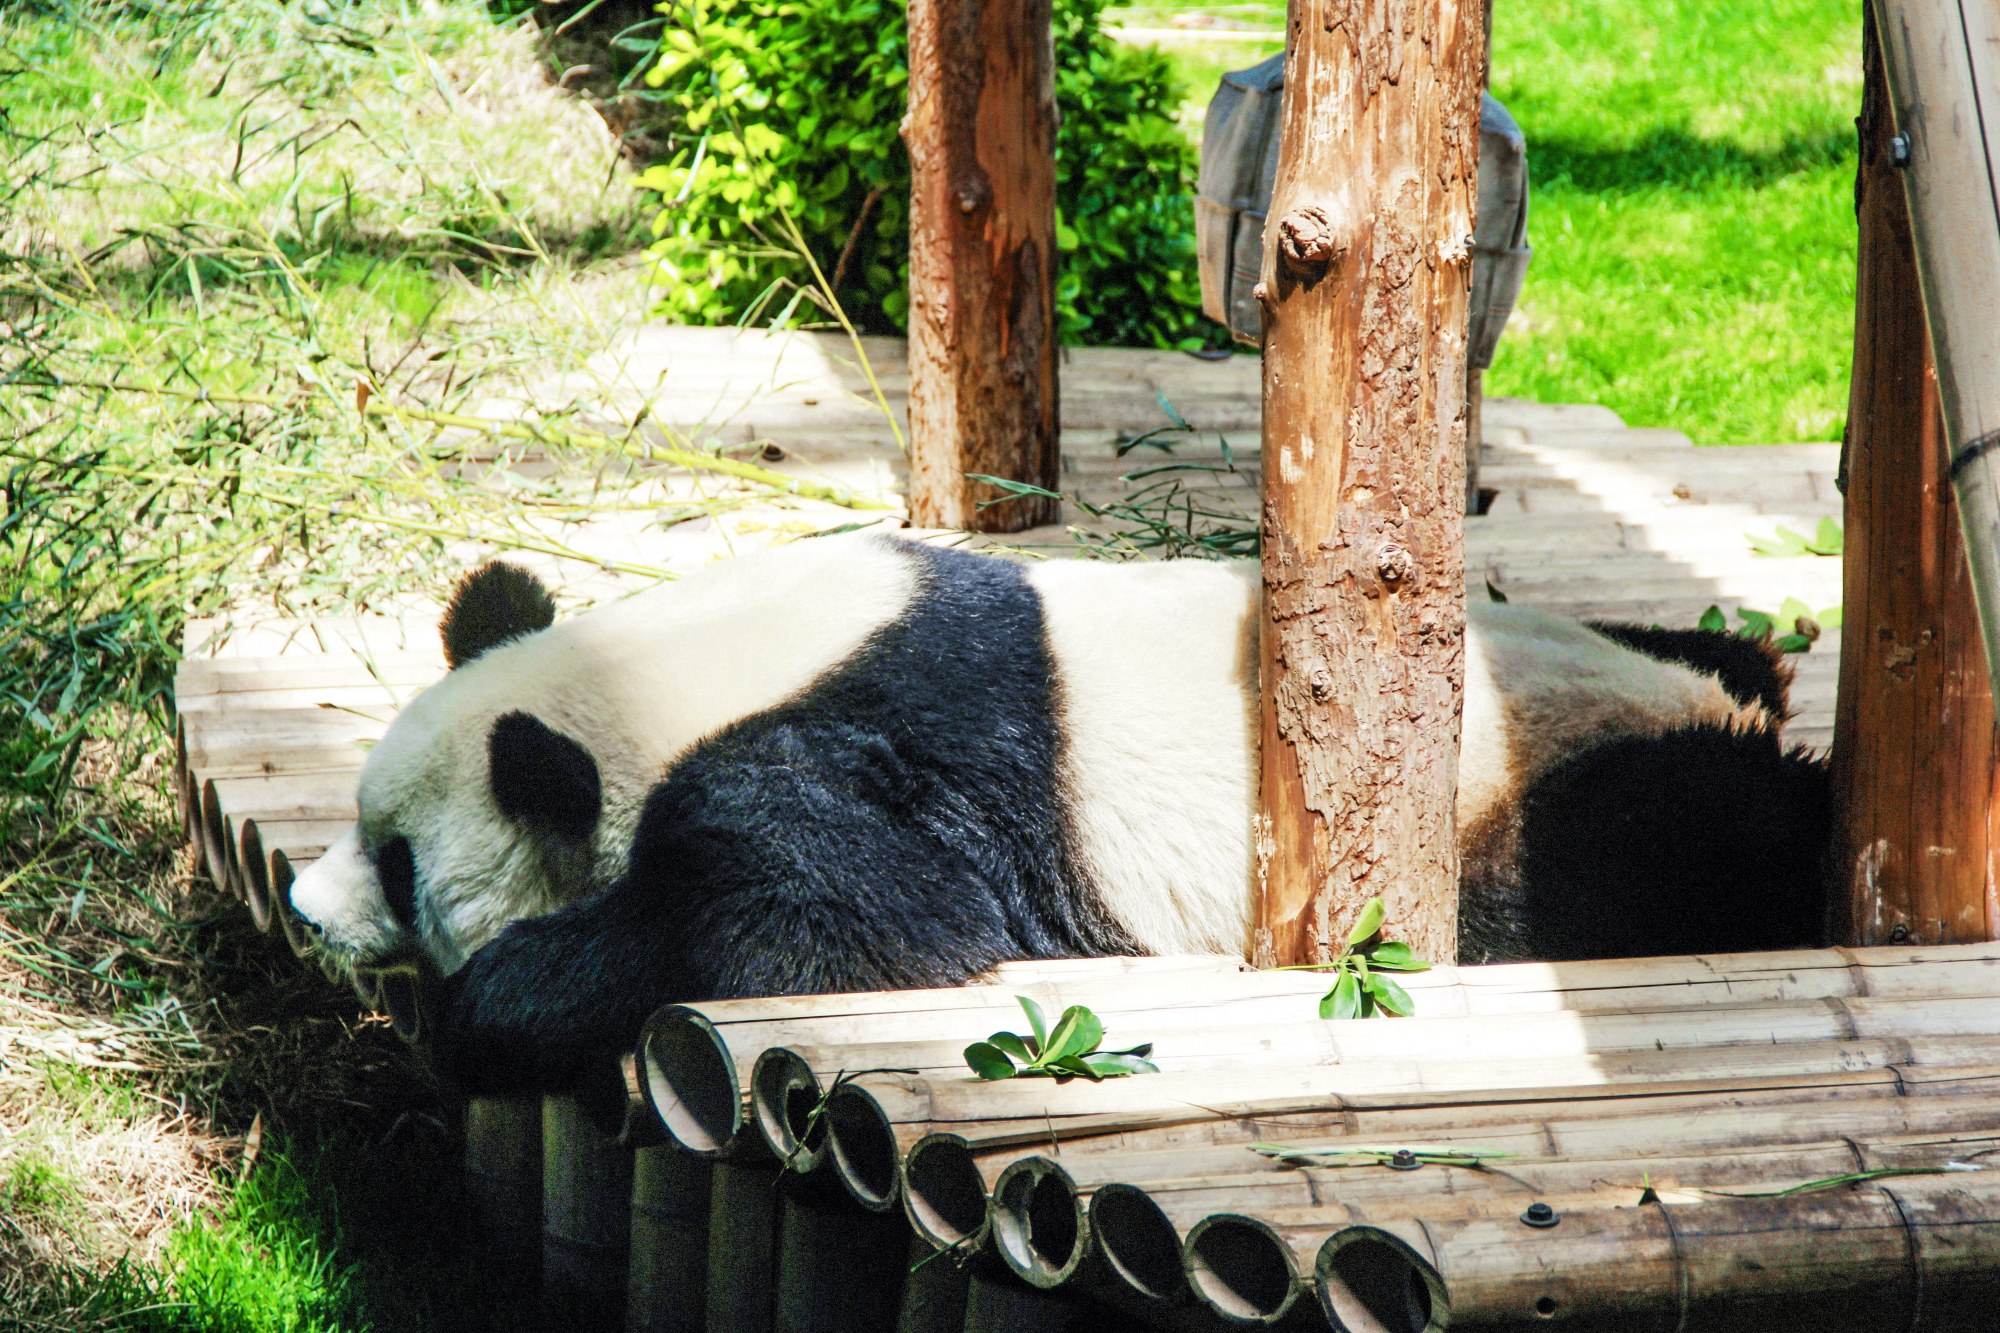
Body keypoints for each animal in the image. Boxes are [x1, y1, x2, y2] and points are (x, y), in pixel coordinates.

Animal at [282, 536, 1832, 1096]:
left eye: (400, 861)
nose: (303, 902)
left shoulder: (891, 751)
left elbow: (843, 913)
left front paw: (502, 998)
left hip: (1539, 790)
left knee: (1685, 838)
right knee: (1717, 655)